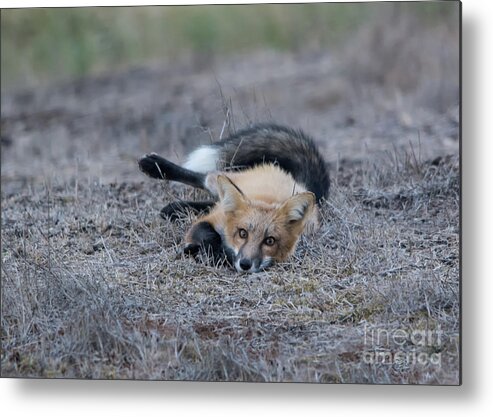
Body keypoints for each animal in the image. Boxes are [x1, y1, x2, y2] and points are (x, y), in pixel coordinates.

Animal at [138, 122, 328, 272]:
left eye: (270, 241)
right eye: (243, 233)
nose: (245, 264)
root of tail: (298, 183)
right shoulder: (210, 220)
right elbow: (209, 234)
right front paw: (214, 253)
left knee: (210, 201)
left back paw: (175, 209)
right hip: (220, 180)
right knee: (202, 177)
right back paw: (154, 166)